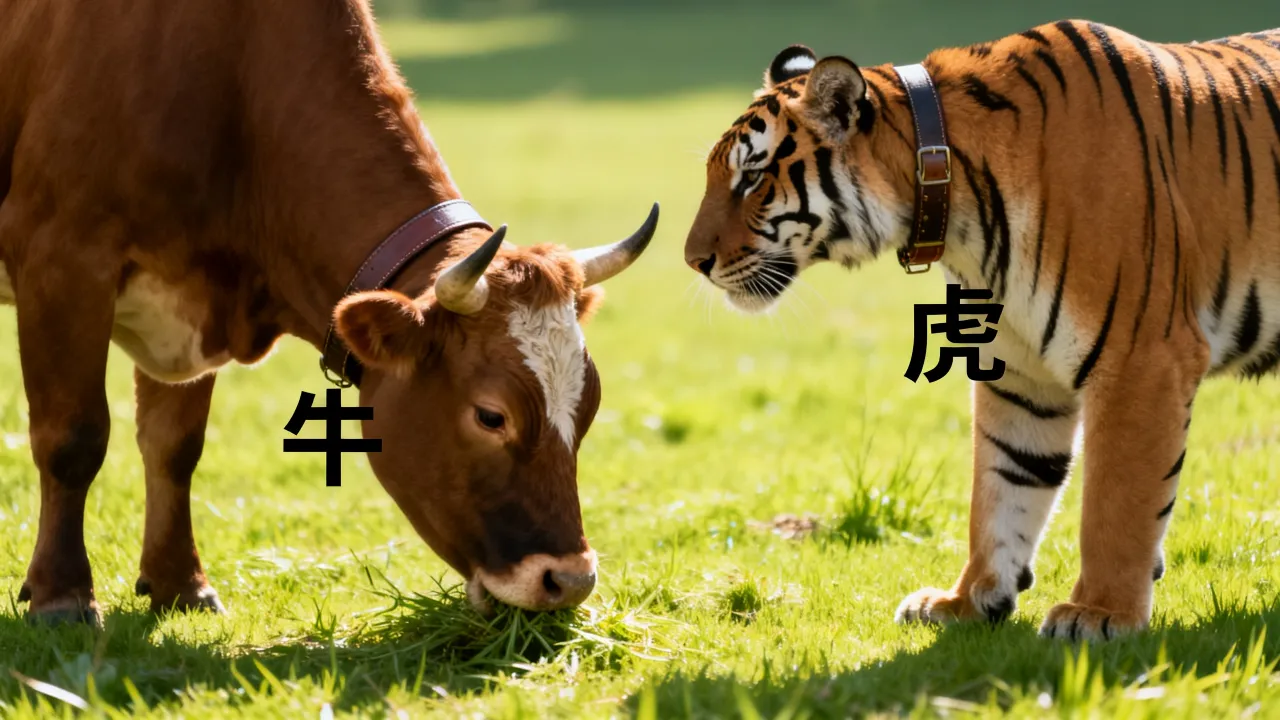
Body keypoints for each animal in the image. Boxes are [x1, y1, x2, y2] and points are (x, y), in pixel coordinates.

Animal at [683, 20, 1280, 640]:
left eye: (752, 178)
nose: (692, 260)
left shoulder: (1142, 357)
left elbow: (1116, 502)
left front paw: (1099, 614)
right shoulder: (1020, 373)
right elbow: (1002, 486)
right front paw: (967, 600)